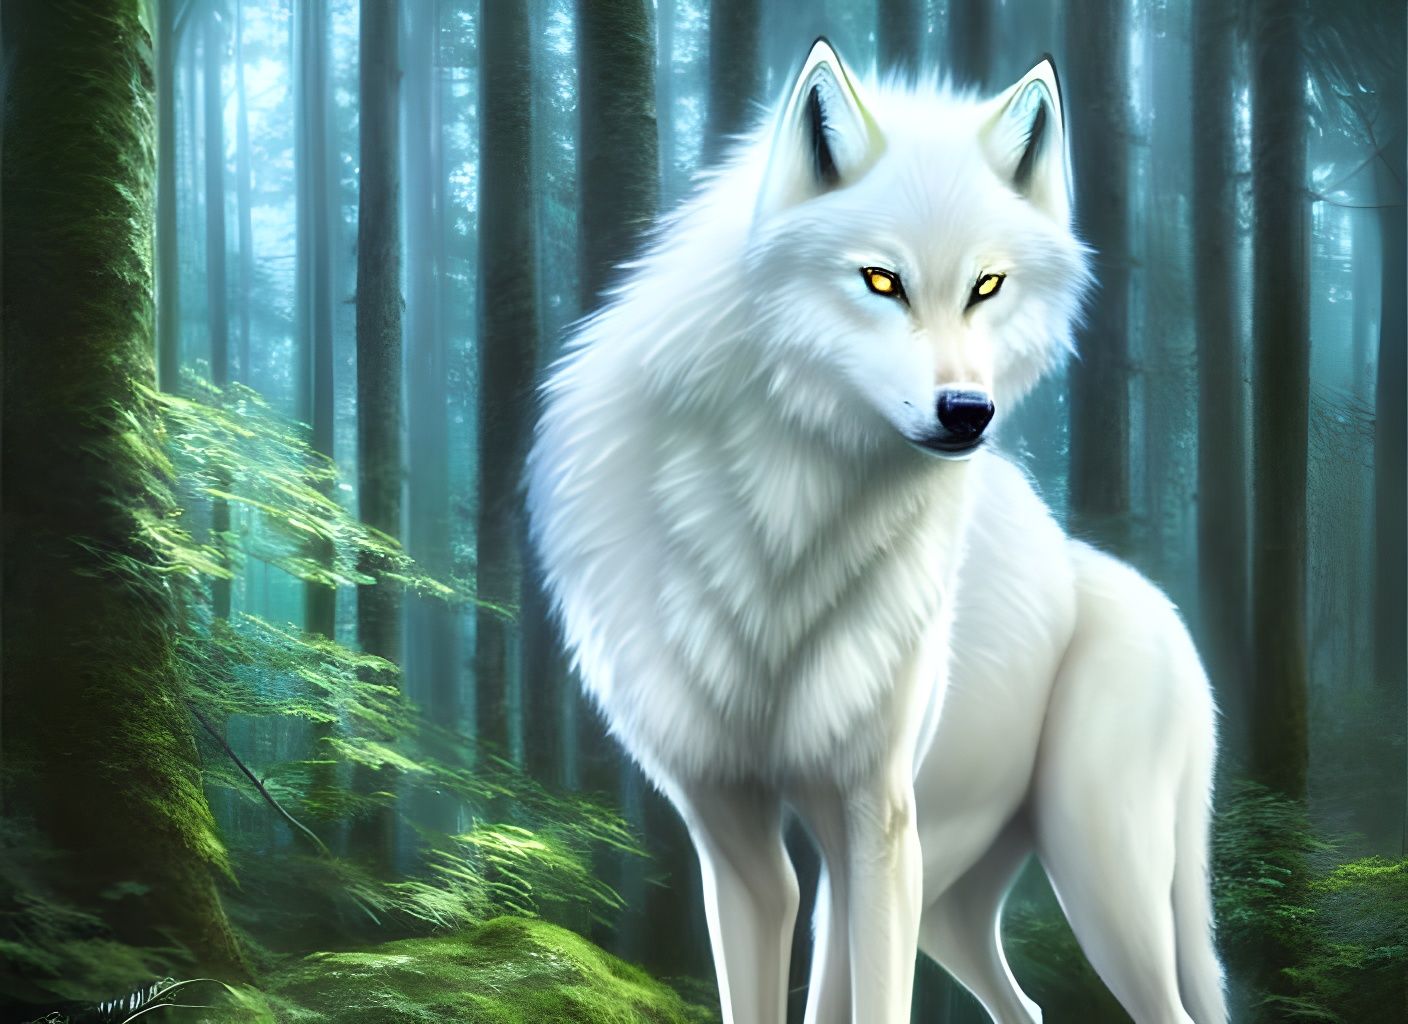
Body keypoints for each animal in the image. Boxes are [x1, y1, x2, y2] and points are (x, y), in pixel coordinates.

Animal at [527, 39, 1225, 1024]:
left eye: (987, 284)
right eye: (881, 280)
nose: (968, 412)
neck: (784, 524)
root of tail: (1160, 610)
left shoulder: (875, 816)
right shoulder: (735, 831)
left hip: (1096, 879)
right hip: (952, 899)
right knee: (1025, 1007)